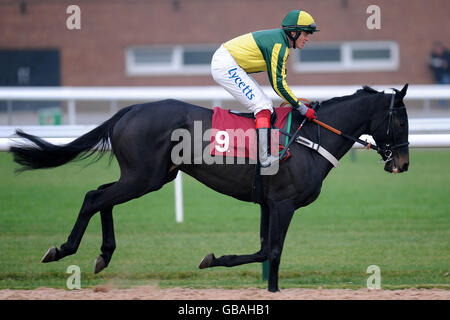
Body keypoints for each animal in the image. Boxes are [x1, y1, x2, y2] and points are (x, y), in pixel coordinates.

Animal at [9, 84, 412, 292]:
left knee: (103, 194)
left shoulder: (268, 203)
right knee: (95, 196)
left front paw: (213, 259)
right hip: (143, 177)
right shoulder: (283, 203)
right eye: (401, 121)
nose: (403, 164)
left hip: (148, 177)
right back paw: (63, 249)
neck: (309, 138)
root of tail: (129, 110)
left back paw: (103, 255)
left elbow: (262, 250)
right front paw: (273, 289)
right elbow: (274, 251)